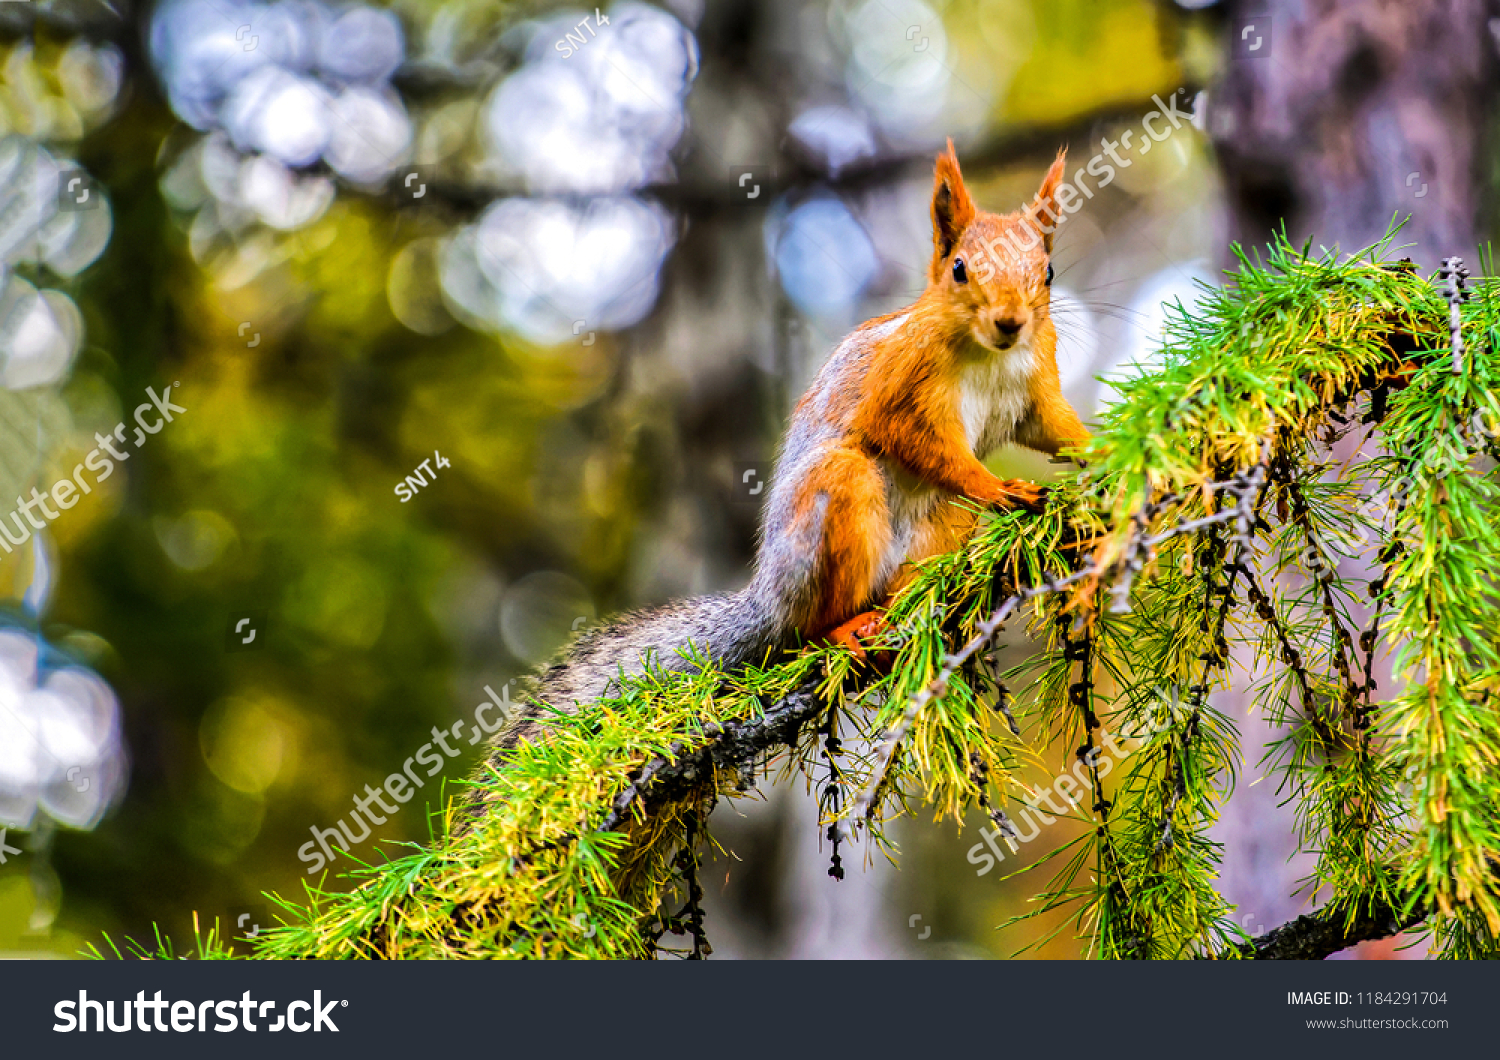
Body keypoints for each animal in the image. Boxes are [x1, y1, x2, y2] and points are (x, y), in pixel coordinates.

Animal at [495, 140, 1092, 749]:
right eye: (959, 269)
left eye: (1046, 271)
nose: (1010, 322)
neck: (990, 354)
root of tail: (768, 600)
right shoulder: (900, 387)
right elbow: (915, 440)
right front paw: (997, 486)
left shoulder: (1036, 388)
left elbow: (1054, 428)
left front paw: (1101, 452)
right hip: (830, 507)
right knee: (811, 628)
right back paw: (846, 629)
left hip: (945, 521)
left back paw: (911, 612)